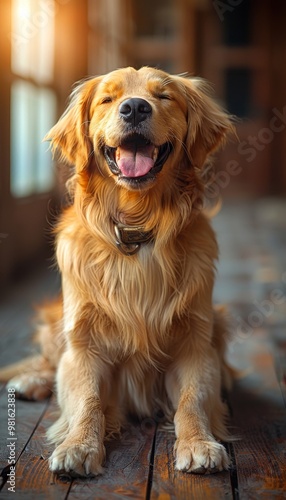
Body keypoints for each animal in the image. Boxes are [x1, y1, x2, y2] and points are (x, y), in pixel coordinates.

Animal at [0, 66, 235, 476]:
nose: (135, 108)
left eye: (163, 96)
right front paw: (79, 445)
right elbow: (87, 399)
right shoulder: (83, 343)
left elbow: (192, 399)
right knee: (51, 361)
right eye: (107, 99)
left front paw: (199, 443)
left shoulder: (196, 342)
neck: (136, 230)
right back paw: (32, 379)